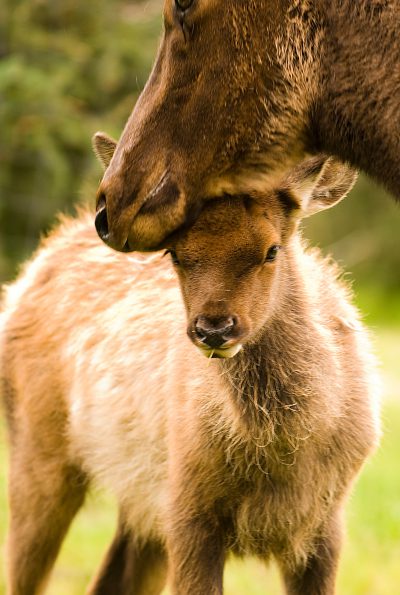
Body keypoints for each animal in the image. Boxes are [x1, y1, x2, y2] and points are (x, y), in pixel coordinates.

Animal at [0, 156, 382, 592]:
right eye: (175, 253)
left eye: (272, 250)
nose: (214, 328)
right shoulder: (187, 506)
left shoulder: (326, 522)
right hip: (39, 447)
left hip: (141, 502)